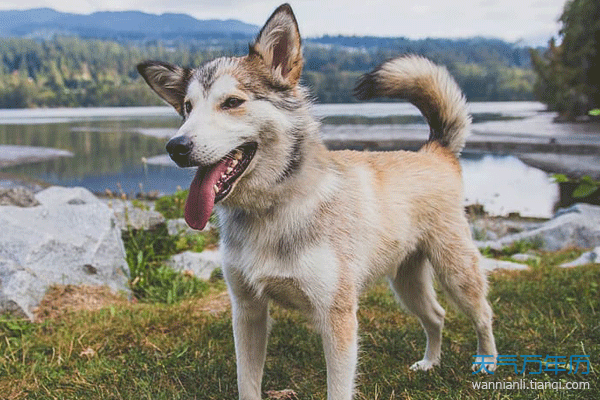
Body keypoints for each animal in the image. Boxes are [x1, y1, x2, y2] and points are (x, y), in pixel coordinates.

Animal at [138, 3, 500, 400]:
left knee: (483, 315)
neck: (271, 209)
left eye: (232, 102)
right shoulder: (247, 309)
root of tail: (435, 150)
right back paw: (430, 362)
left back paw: (487, 362)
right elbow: (247, 381)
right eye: (187, 107)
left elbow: (338, 386)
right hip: (407, 282)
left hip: (457, 273)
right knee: (436, 315)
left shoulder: (336, 314)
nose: (175, 147)